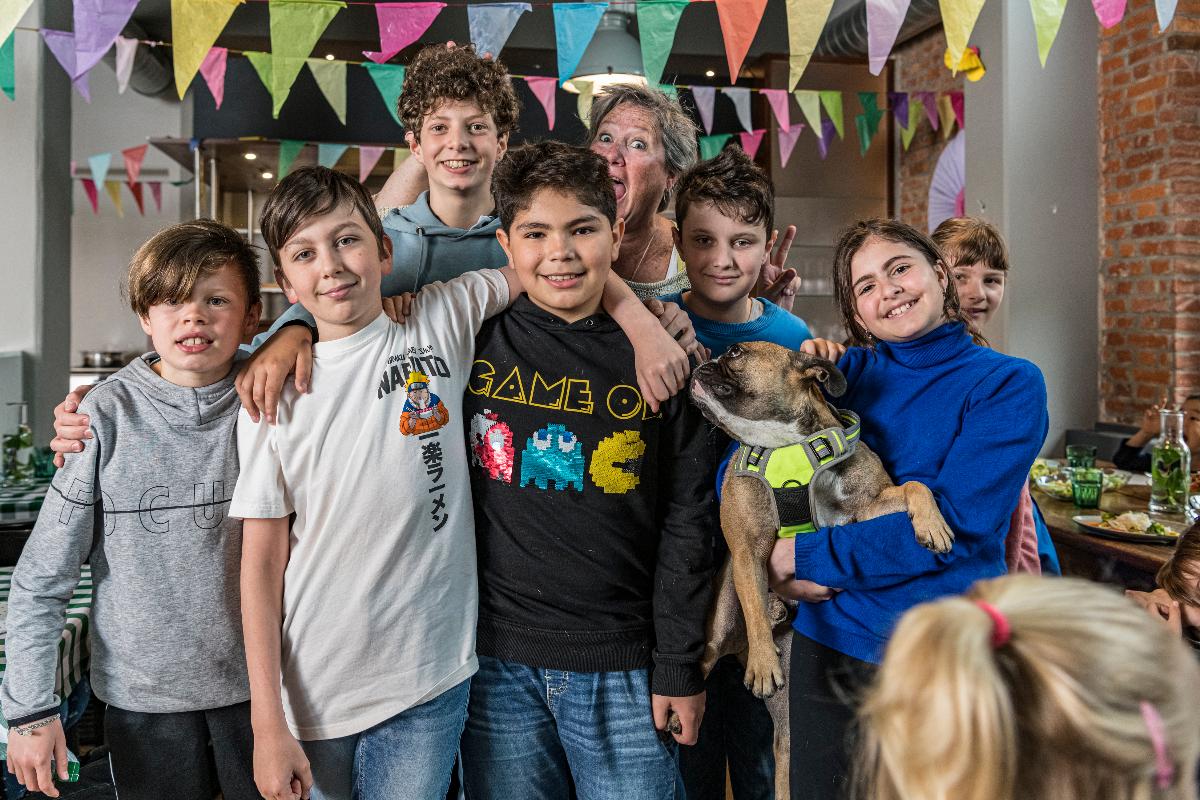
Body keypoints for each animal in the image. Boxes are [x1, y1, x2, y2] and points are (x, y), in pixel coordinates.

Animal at [686, 340, 955, 796]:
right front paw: (764, 661)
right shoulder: (747, 552)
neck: (784, 447)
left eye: (736, 353)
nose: (702, 361)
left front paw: (932, 524)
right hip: (718, 629)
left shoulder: (869, 505)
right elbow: (753, 605)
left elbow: (915, 487)